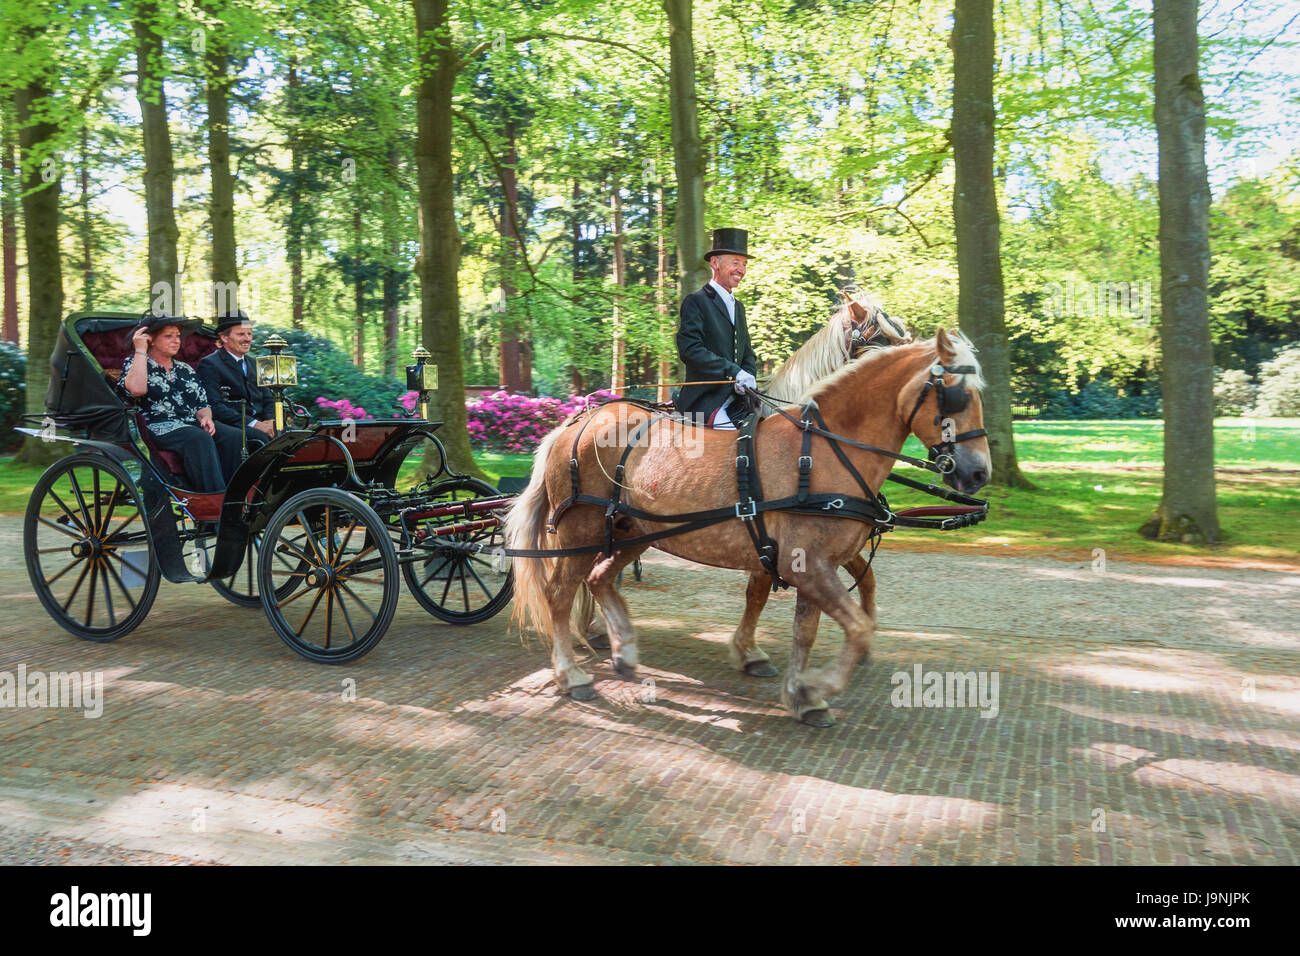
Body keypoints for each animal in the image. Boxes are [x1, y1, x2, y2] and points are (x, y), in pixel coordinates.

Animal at [501, 329, 987, 723]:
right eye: (956, 395)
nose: (980, 472)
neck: (822, 453)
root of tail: (578, 422)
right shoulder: (806, 565)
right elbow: (855, 627)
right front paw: (815, 686)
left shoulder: (810, 563)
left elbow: (806, 629)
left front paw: (800, 693)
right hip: (581, 533)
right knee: (559, 594)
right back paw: (572, 674)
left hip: (632, 531)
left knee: (600, 578)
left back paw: (623, 648)